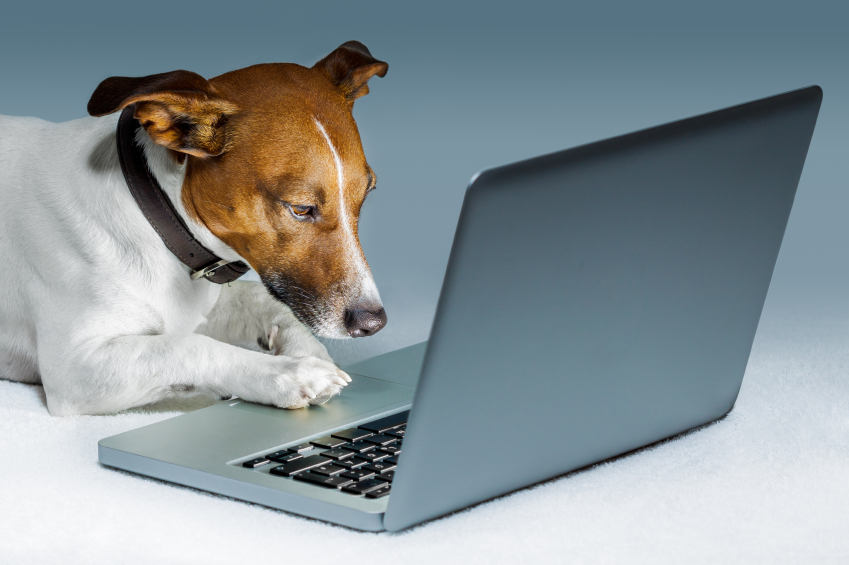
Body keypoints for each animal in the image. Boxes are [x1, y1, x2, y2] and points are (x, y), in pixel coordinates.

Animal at [0, 40, 390, 414]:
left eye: (367, 193)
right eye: (301, 208)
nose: (373, 324)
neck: (154, 216)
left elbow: (259, 300)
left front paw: (306, 350)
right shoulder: (75, 369)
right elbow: (189, 347)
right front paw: (289, 374)